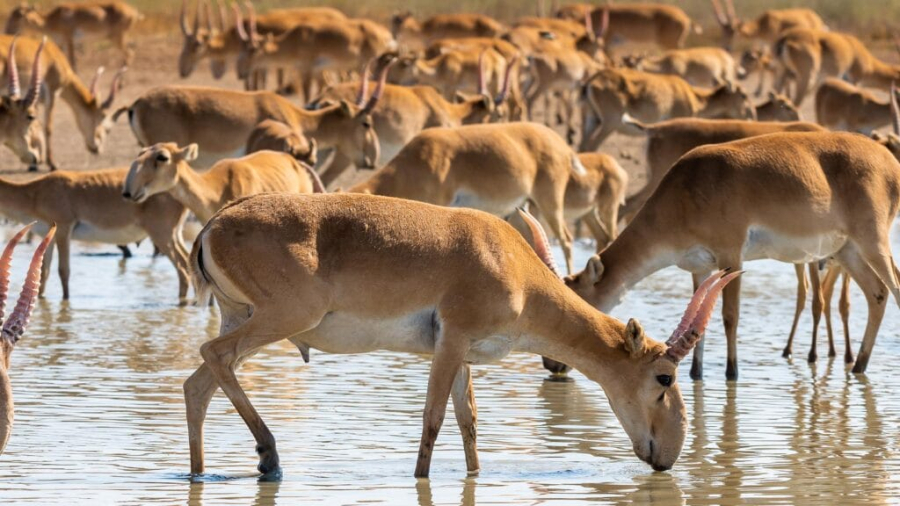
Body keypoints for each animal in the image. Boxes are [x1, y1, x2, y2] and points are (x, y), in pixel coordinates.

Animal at [4, 0, 141, 69]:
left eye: (19, 17)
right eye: (10, 15)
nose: (7, 32)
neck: (54, 20)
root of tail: (134, 12)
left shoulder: (69, 40)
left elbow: (72, 62)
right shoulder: (60, 43)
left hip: (117, 38)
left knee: (130, 54)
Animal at [183, 192, 740, 476]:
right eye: (665, 377)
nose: (668, 455)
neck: (511, 264)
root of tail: (213, 225)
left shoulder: (466, 356)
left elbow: (469, 422)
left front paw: (475, 477)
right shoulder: (450, 343)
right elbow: (432, 421)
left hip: (244, 317)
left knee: (199, 382)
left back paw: (201, 471)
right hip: (282, 318)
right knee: (213, 355)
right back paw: (269, 457)